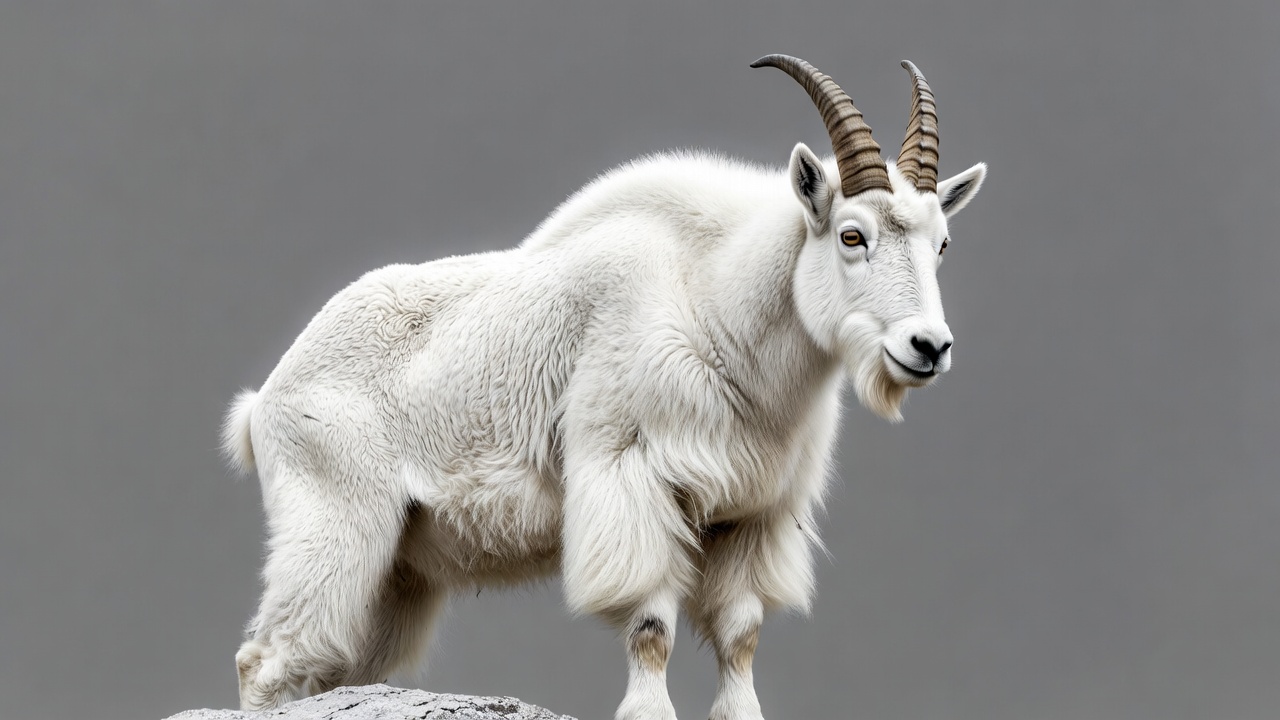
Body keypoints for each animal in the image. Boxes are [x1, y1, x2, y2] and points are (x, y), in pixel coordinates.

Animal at [223, 55, 987, 719]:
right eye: (852, 235)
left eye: (942, 243)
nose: (928, 347)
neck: (713, 303)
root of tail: (262, 404)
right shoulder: (632, 475)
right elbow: (651, 623)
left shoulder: (752, 513)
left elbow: (740, 634)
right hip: (335, 520)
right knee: (267, 660)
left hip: (399, 570)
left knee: (332, 669)